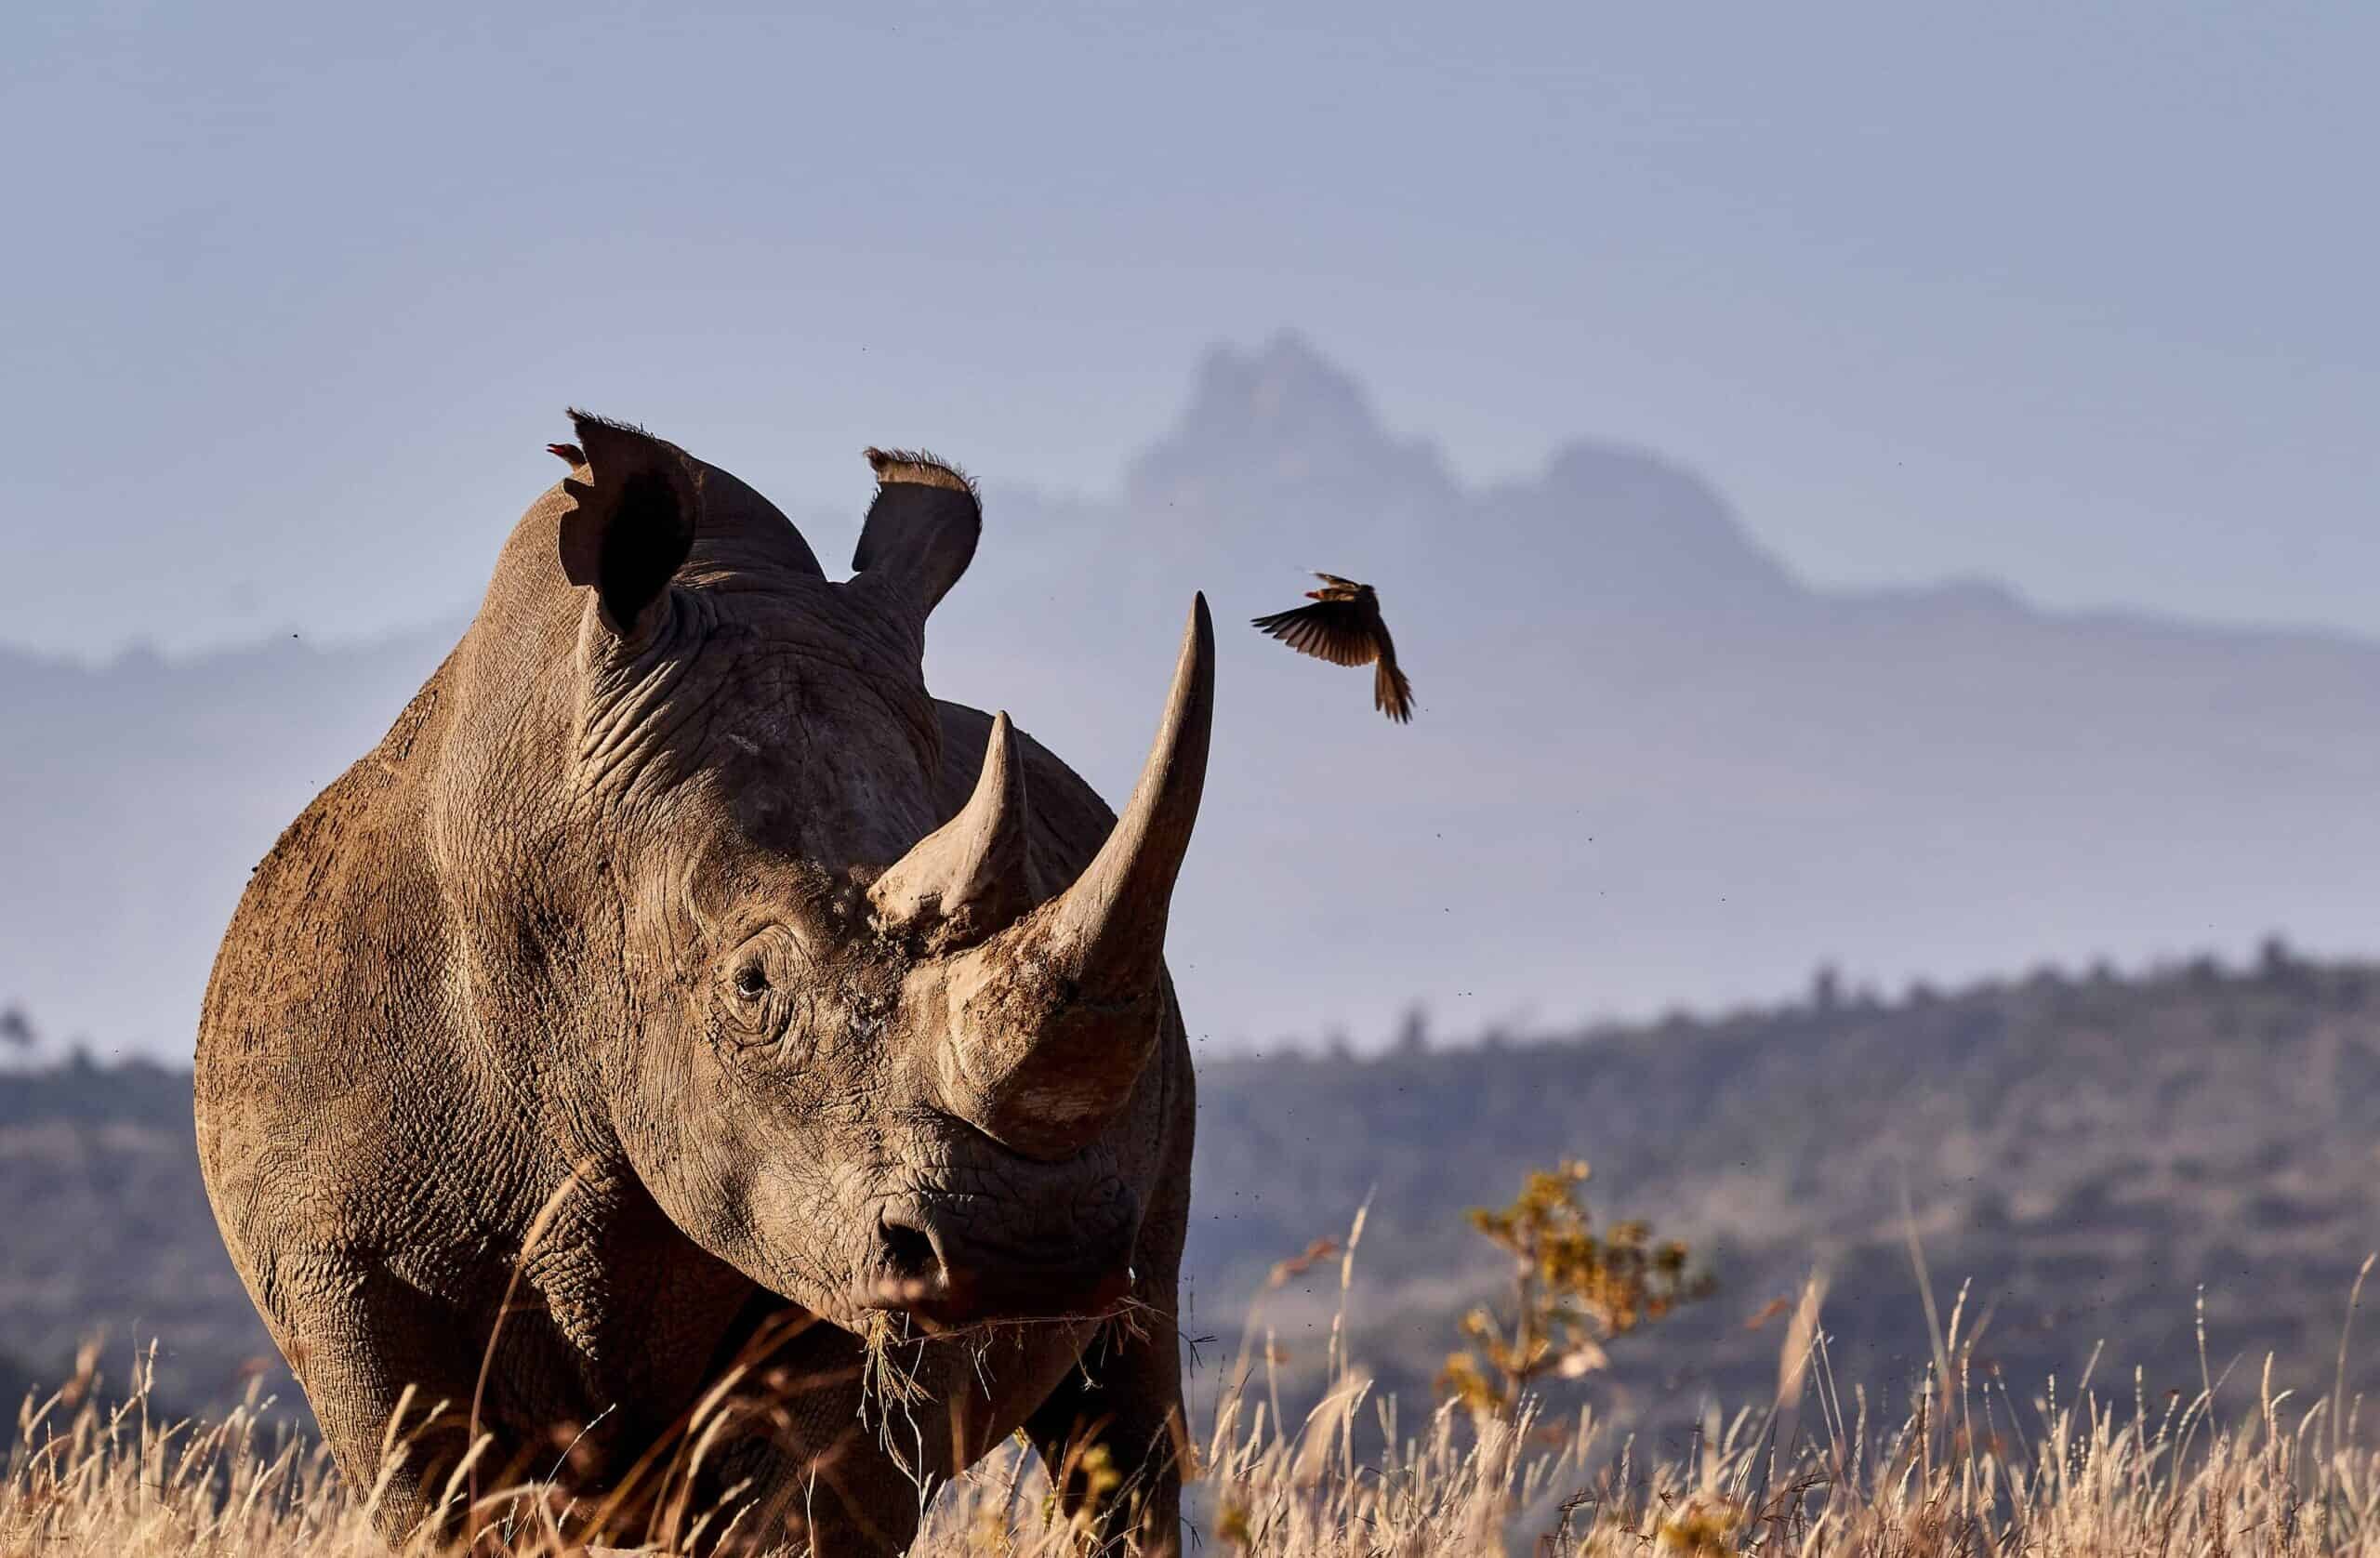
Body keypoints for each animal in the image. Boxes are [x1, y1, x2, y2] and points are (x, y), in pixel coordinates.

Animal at [194, 415, 1209, 1555]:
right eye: (753, 981)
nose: (1031, 1250)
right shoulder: (343, 1260)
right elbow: (431, 1493)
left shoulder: (831, 1233)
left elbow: (803, 1502)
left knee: (1122, 1404)